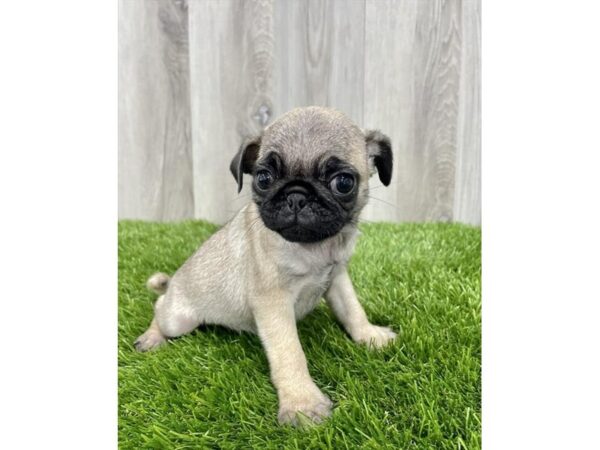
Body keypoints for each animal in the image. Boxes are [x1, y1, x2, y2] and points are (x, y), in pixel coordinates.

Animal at [137, 105, 398, 426]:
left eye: (343, 183)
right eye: (263, 178)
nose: (296, 195)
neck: (314, 247)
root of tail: (174, 284)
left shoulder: (336, 278)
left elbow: (352, 310)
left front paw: (370, 335)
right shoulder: (272, 302)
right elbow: (289, 353)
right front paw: (302, 403)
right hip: (178, 318)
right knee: (160, 306)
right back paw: (152, 336)